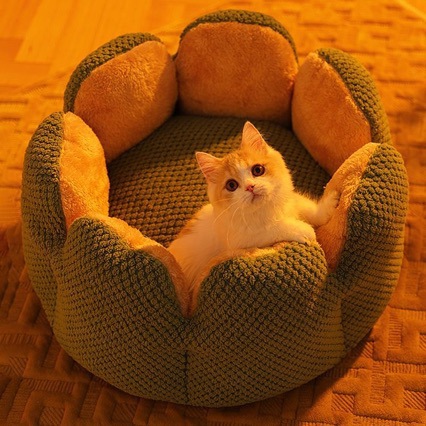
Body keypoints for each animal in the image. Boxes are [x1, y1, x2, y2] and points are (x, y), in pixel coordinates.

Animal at [168, 121, 339, 289]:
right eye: (231, 185)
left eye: (257, 170)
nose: (250, 187)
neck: (265, 209)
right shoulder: (245, 240)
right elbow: (274, 228)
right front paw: (303, 229)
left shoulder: (290, 201)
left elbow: (310, 209)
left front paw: (331, 201)